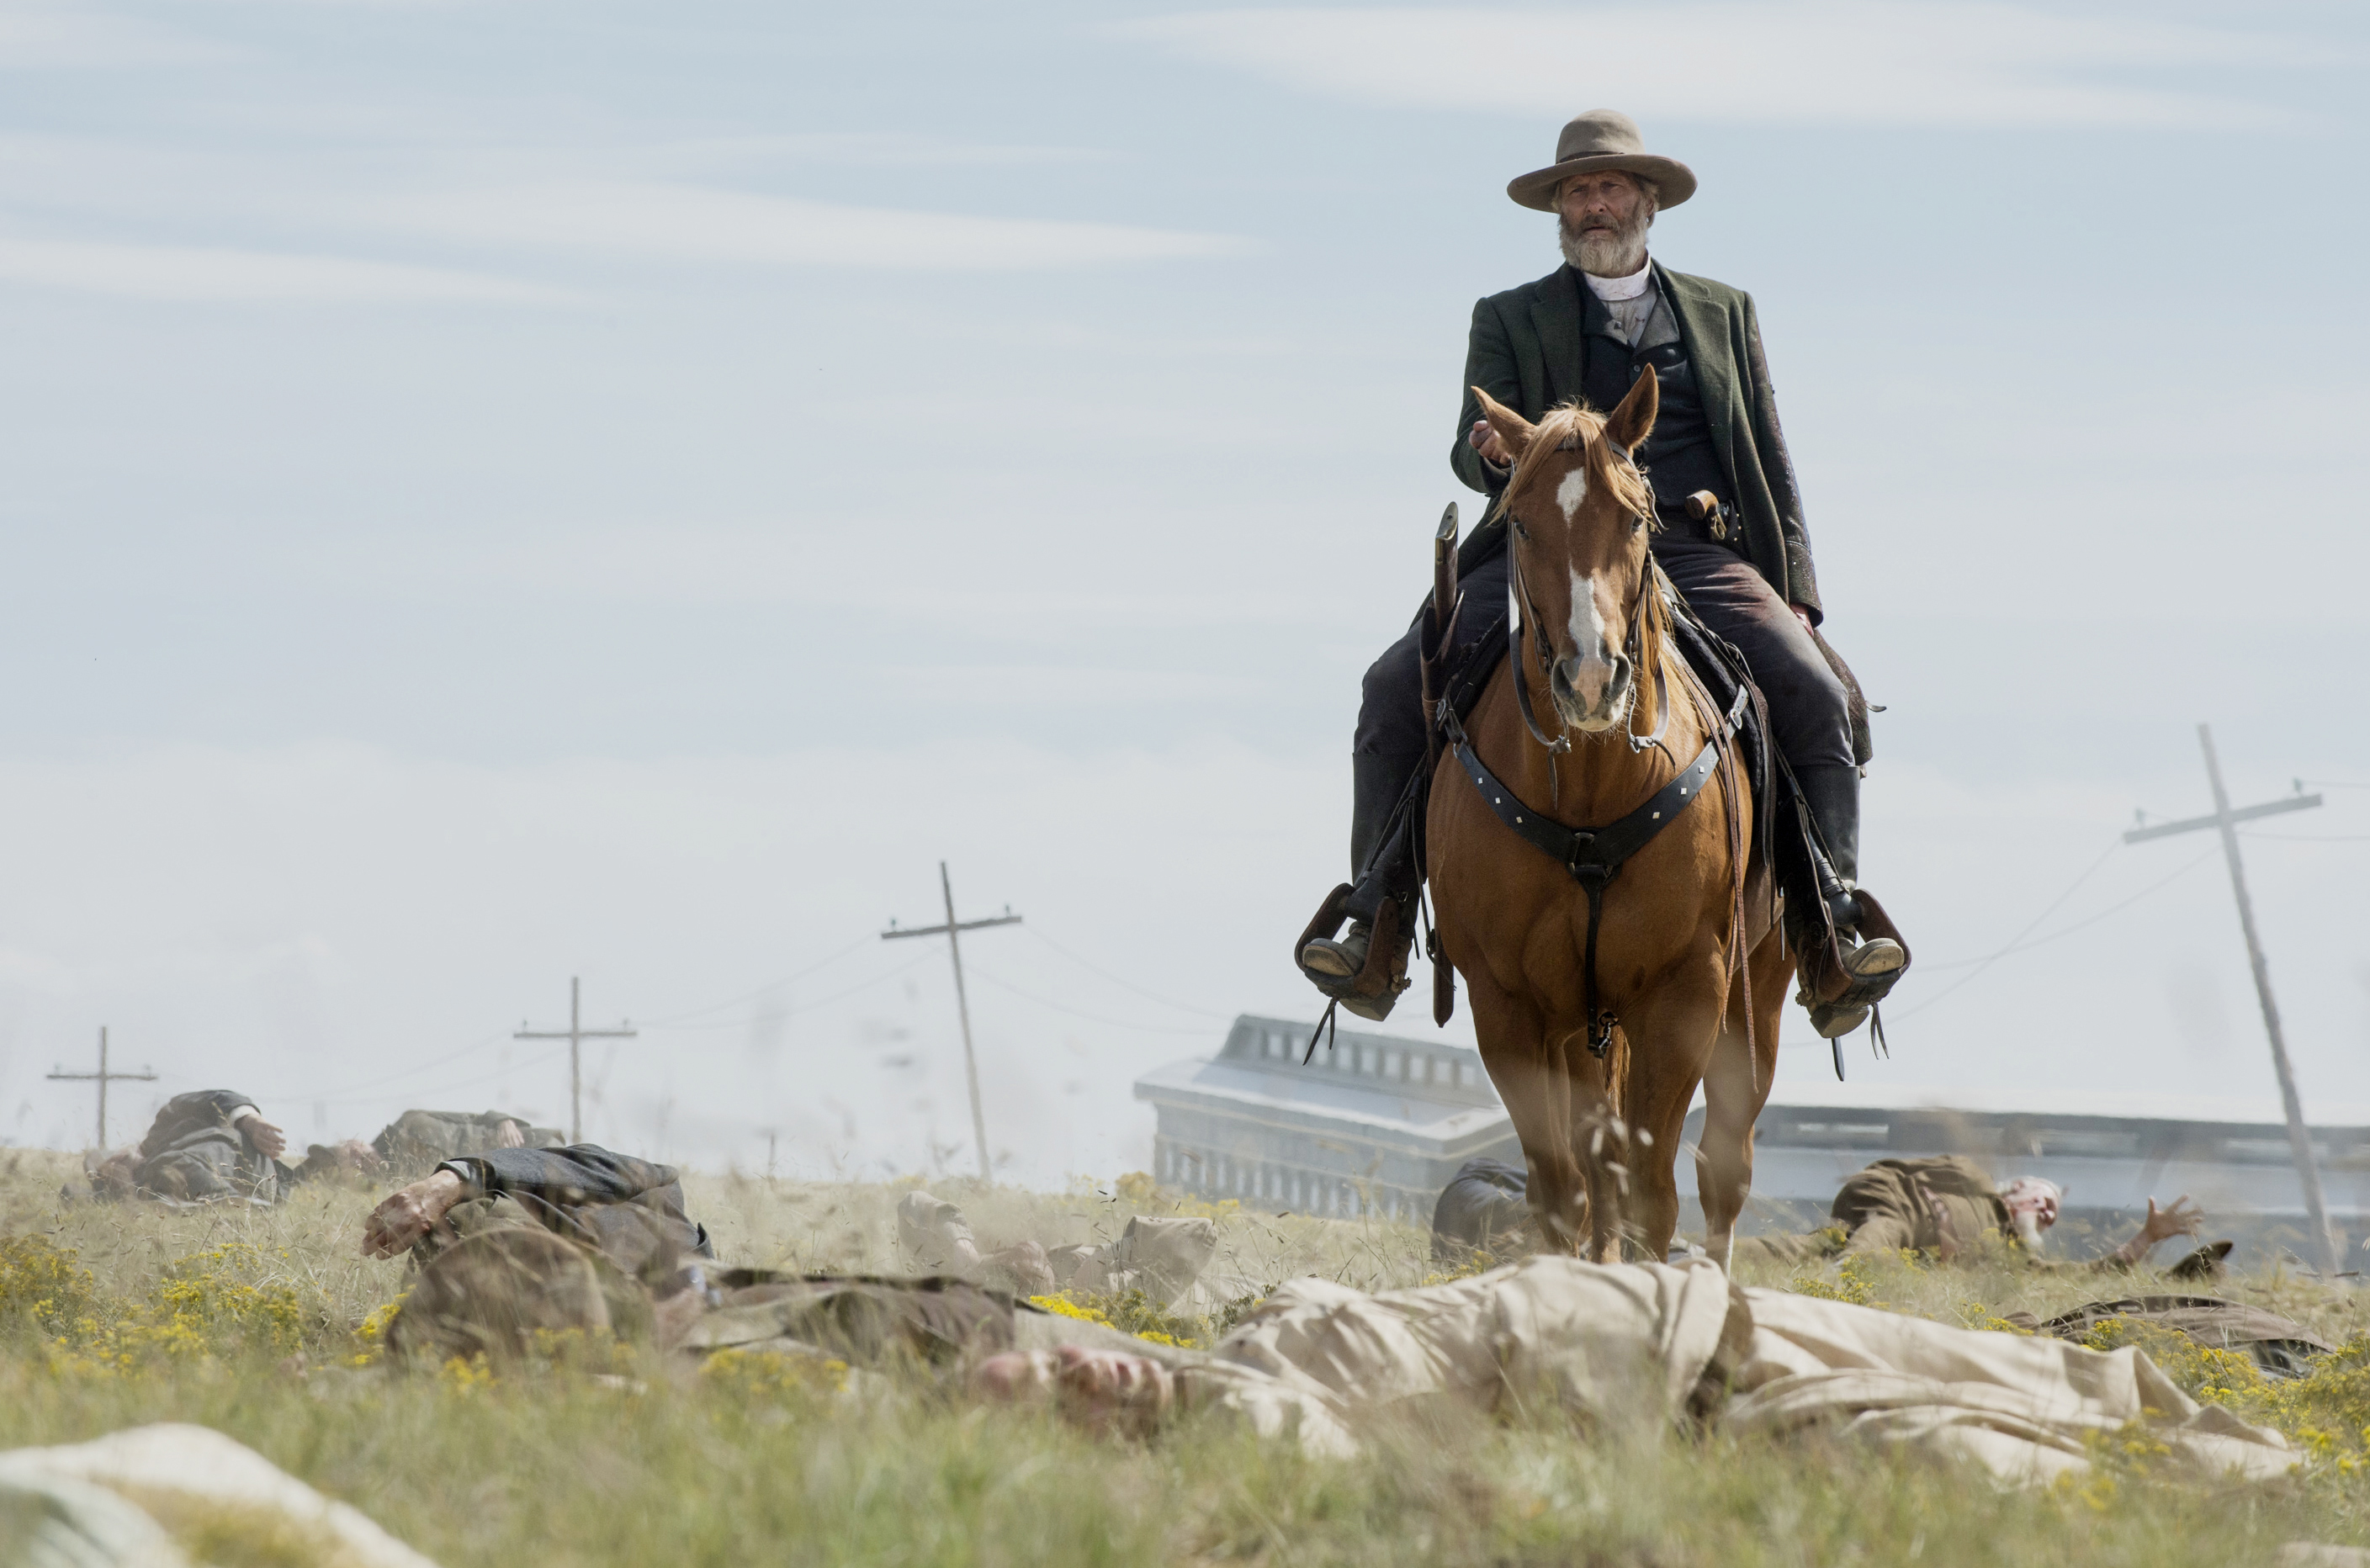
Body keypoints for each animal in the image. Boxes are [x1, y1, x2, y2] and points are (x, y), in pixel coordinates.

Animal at [1422, 373, 1782, 1269]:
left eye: (1635, 519)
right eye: (1519, 522)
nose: (1590, 680)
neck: (1590, 787)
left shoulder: (1686, 991)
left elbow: (1653, 1193)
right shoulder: (1508, 1006)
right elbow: (1564, 1190)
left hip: (1758, 989)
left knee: (1722, 1168)